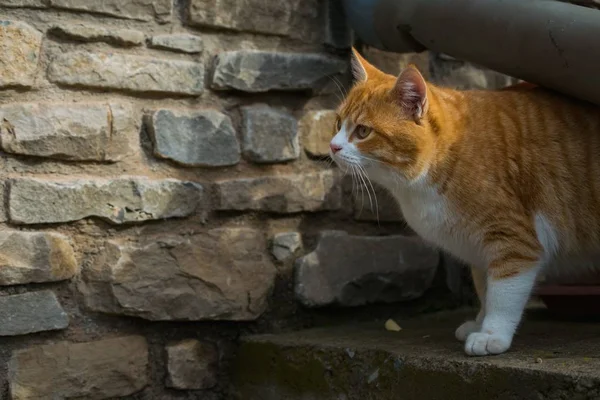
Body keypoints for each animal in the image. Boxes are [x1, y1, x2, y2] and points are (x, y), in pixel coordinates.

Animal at [332, 47, 600, 356]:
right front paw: (479, 322)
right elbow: (485, 288)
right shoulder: (479, 249)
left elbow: (503, 293)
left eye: (363, 131)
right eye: (338, 123)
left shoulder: (513, 240)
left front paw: (492, 334)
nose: (333, 146)